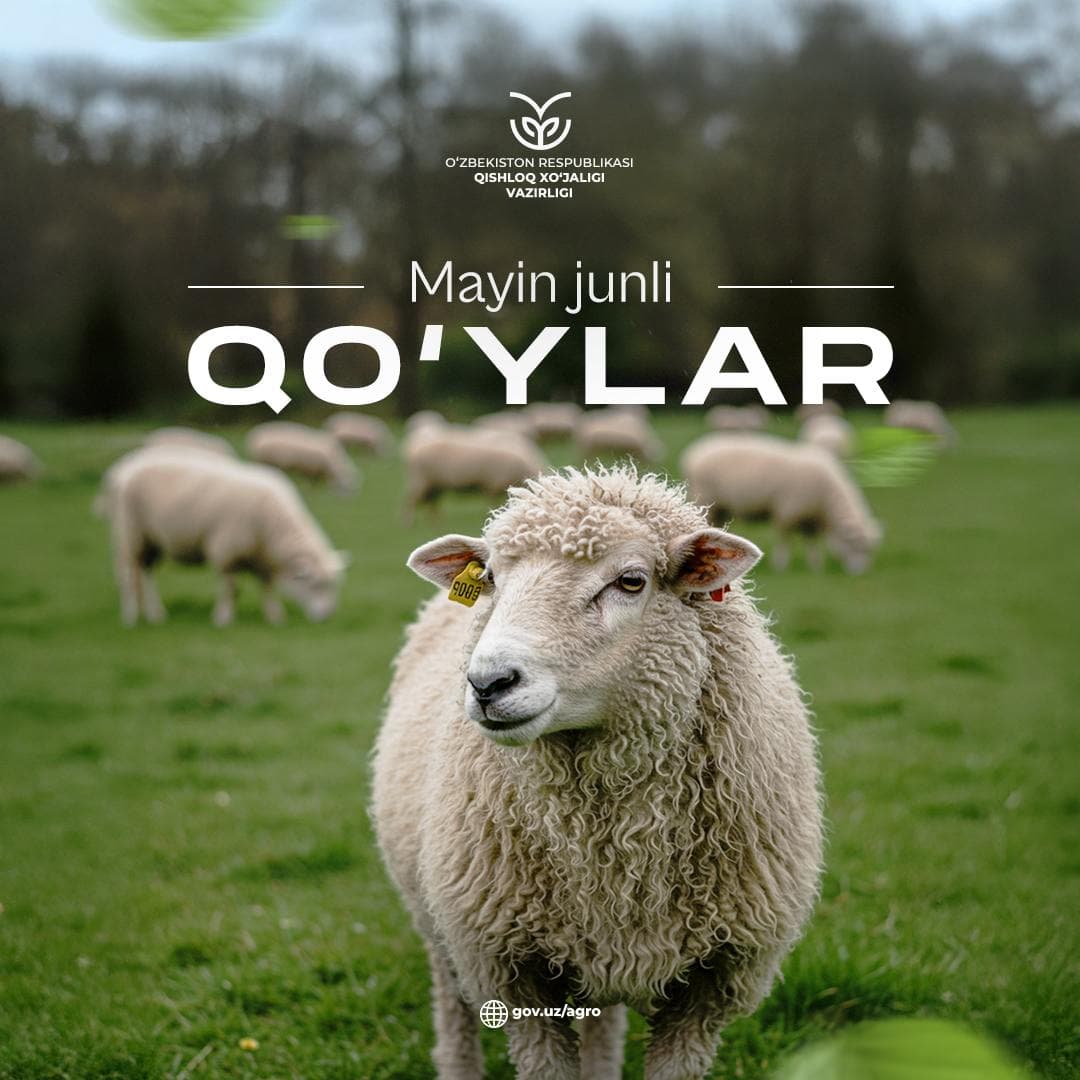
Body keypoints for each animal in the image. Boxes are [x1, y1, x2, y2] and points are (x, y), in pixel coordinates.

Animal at [98, 447, 347, 627]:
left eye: (333, 584)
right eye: (316, 584)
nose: (328, 616)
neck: (273, 526)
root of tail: (125, 467)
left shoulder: (263, 558)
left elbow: (267, 588)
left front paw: (274, 617)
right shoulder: (226, 551)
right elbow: (231, 589)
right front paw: (223, 618)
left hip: (153, 540)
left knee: (146, 573)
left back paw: (155, 614)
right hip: (131, 533)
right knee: (130, 574)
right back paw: (131, 616)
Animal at [373, 466, 823, 1080]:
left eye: (631, 581)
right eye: (489, 578)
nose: (488, 683)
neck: (613, 846)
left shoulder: (713, 982)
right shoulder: (514, 970)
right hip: (443, 921)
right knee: (453, 1005)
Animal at [402, 421, 546, 525]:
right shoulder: (493, 484)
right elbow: (494, 503)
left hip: (435, 484)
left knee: (433, 504)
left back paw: (436, 523)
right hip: (421, 480)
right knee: (410, 501)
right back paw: (408, 523)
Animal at [681, 433, 882, 573]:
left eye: (869, 549)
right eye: (855, 545)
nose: (859, 572)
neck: (827, 500)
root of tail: (693, 452)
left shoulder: (810, 517)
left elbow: (812, 542)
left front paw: (816, 566)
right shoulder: (788, 511)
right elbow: (784, 538)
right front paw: (781, 565)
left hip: (721, 506)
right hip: (705, 498)